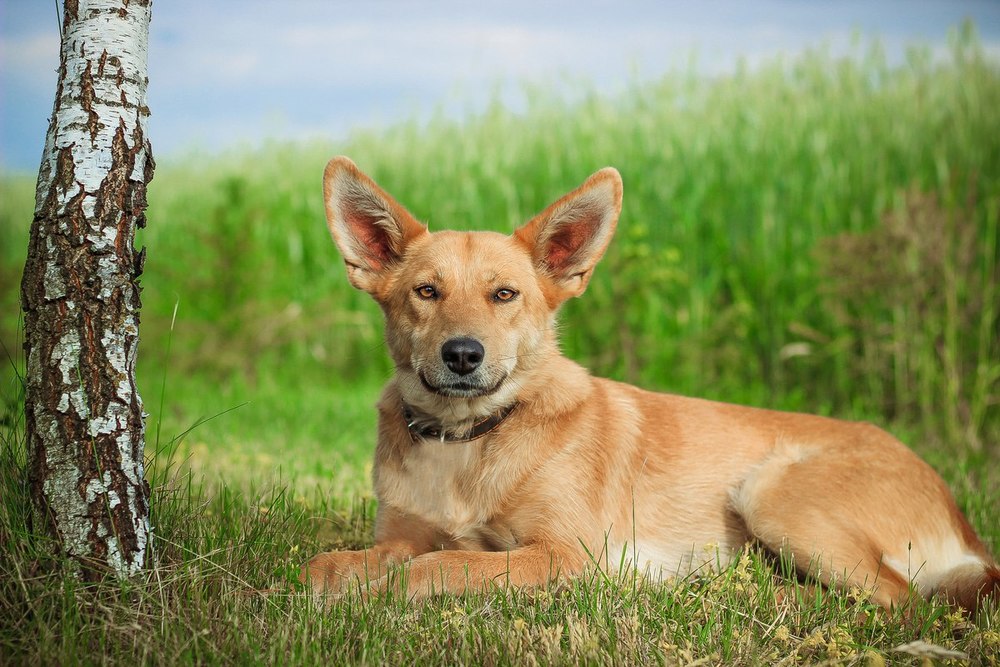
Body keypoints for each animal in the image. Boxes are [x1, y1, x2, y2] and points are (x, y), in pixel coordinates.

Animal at [304, 155, 1000, 612]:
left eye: (505, 295)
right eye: (427, 292)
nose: (463, 355)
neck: (469, 440)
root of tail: (963, 524)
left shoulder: (566, 555)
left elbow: (443, 564)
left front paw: (386, 590)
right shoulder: (400, 533)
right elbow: (332, 562)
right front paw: (339, 582)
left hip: (773, 494)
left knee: (901, 600)